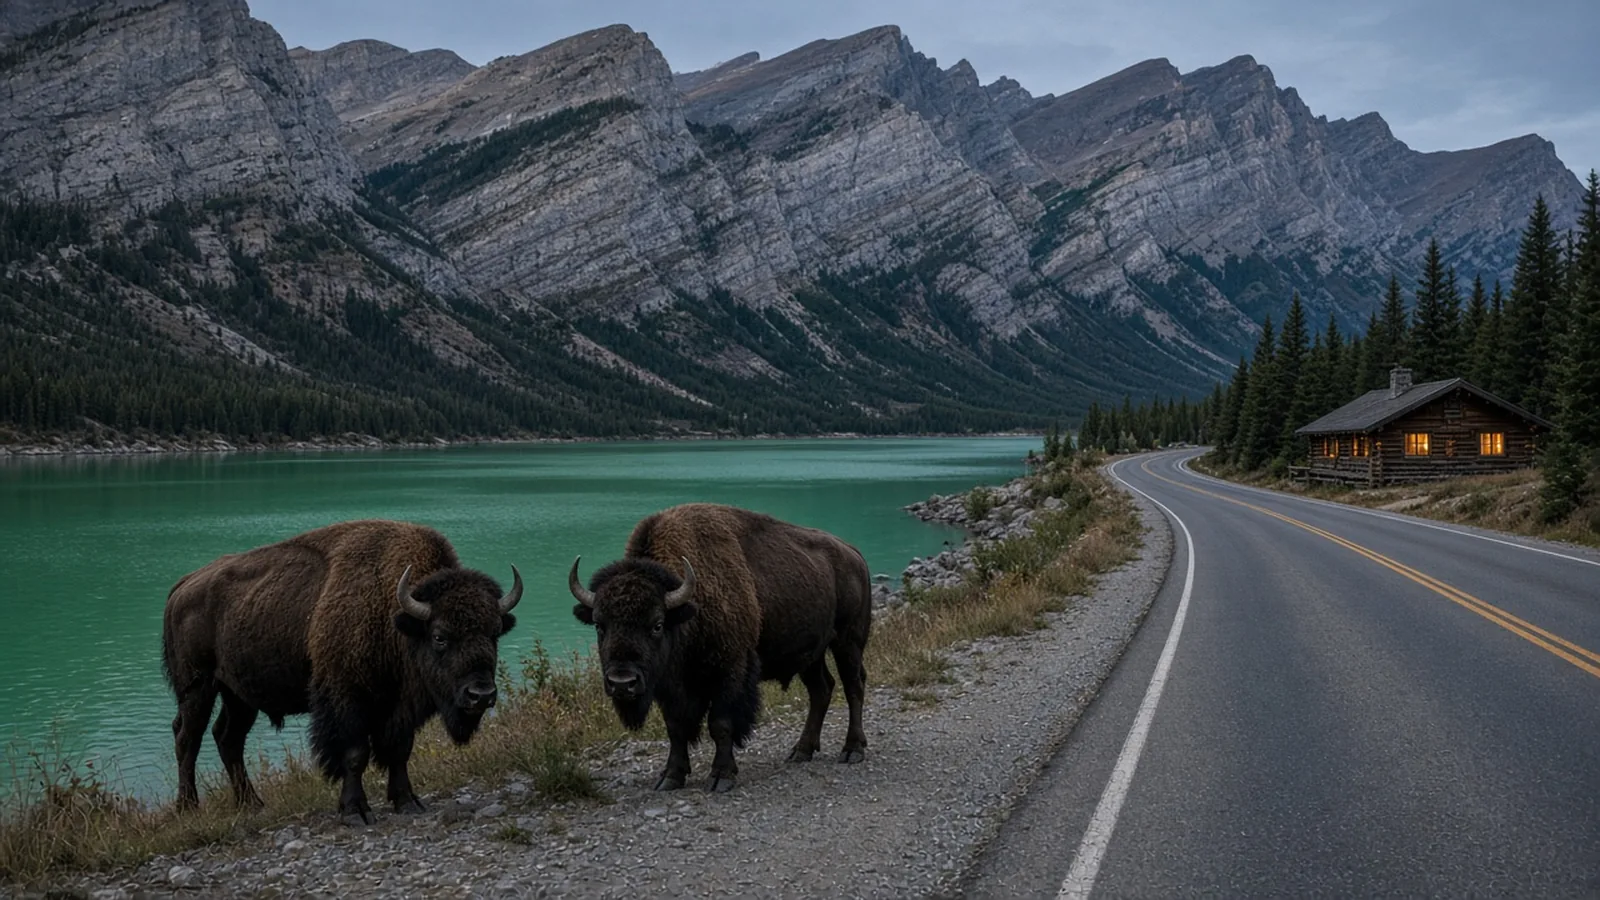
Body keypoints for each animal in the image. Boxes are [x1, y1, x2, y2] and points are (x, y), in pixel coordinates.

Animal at [161, 519, 521, 823]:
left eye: (493, 633)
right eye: (439, 636)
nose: (481, 695)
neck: (394, 618)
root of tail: (183, 586)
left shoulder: (398, 708)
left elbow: (399, 751)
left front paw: (407, 802)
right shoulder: (347, 700)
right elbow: (354, 755)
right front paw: (355, 811)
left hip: (239, 696)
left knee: (227, 738)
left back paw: (251, 803)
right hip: (198, 688)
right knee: (187, 737)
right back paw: (188, 807)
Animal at [568, 503, 871, 792]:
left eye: (656, 624)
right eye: (599, 625)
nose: (622, 682)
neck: (687, 609)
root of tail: (854, 554)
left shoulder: (730, 673)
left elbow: (721, 724)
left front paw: (721, 777)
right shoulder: (670, 686)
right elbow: (675, 728)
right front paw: (670, 778)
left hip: (848, 643)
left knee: (853, 687)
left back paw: (852, 750)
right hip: (810, 656)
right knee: (821, 690)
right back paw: (801, 751)